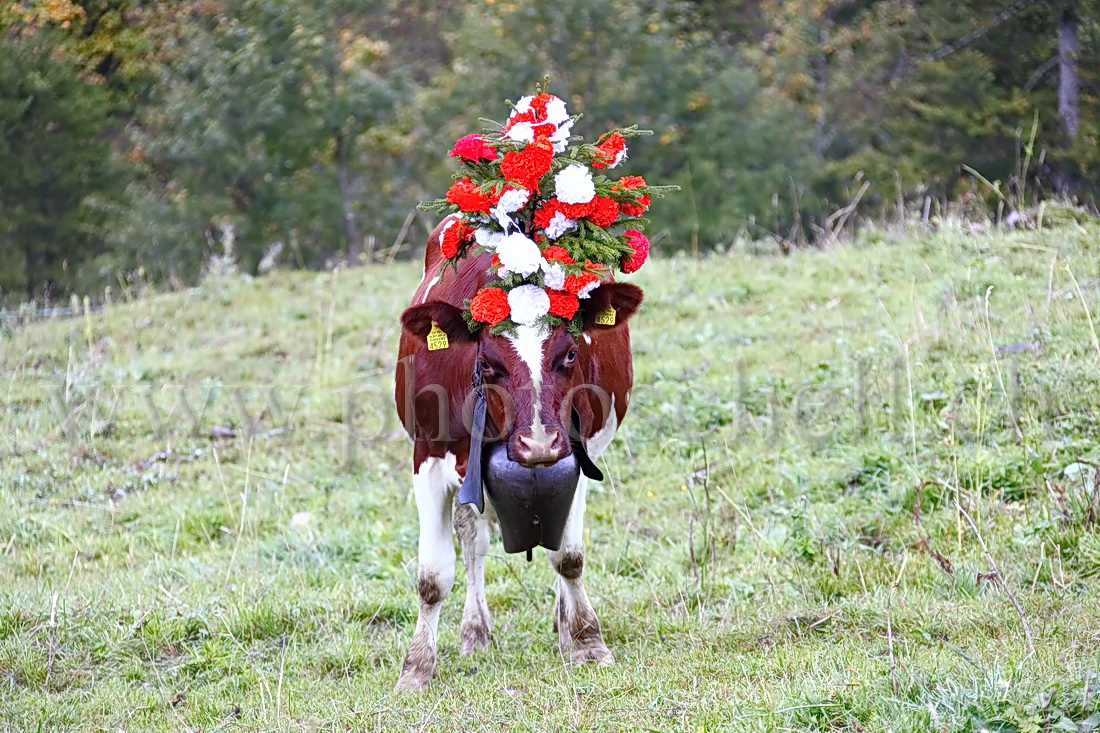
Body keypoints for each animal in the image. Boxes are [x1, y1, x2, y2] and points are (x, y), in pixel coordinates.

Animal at [393, 214, 642, 686]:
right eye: (487, 363)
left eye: (569, 353)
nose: (538, 442)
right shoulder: (427, 458)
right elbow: (433, 576)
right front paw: (416, 668)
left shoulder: (577, 456)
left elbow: (568, 557)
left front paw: (588, 642)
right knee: (473, 541)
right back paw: (475, 633)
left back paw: (563, 628)